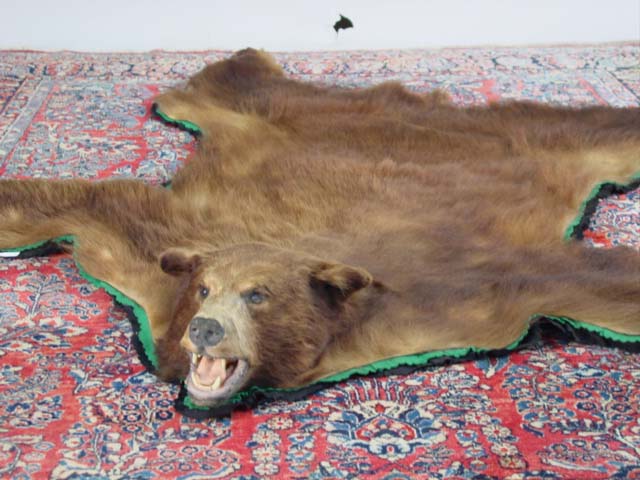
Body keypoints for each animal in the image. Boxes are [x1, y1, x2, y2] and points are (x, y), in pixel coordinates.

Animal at [0, 48, 639, 407]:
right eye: (204, 290)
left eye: (257, 296)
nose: (205, 328)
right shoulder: (151, 251)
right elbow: (97, 201)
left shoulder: (465, 292)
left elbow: (579, 279)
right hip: (263, 119)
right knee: (226, 91)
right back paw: (242, 58)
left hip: (541, 144)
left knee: (587, 133)